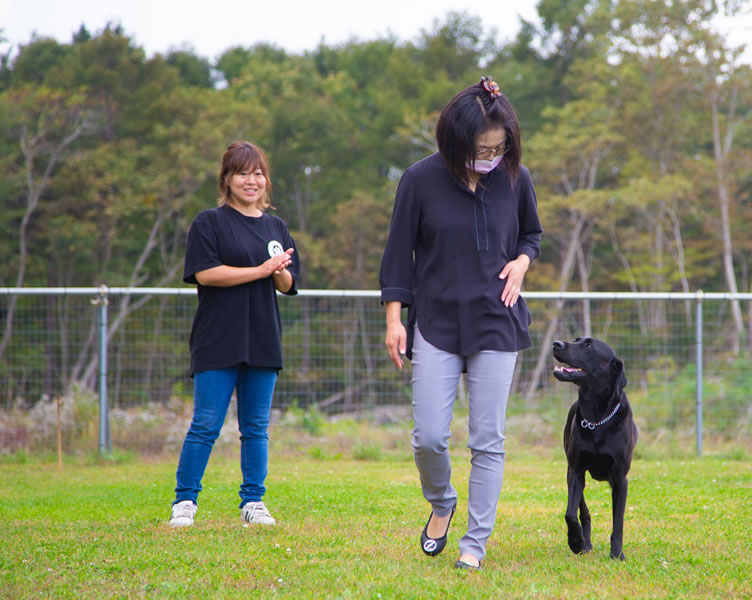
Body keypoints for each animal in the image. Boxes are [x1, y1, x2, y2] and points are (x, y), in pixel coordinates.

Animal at [552, 336, 636, 560]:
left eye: (589, 345)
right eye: (576, 340)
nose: (556, 344)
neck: (598, 419)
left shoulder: (620, 479)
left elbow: (618, 521)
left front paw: (617, 554)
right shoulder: (576, 470)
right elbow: (570, 514)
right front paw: (576, 542)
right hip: (570, 471)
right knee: (582, 511)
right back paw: (585, 542)